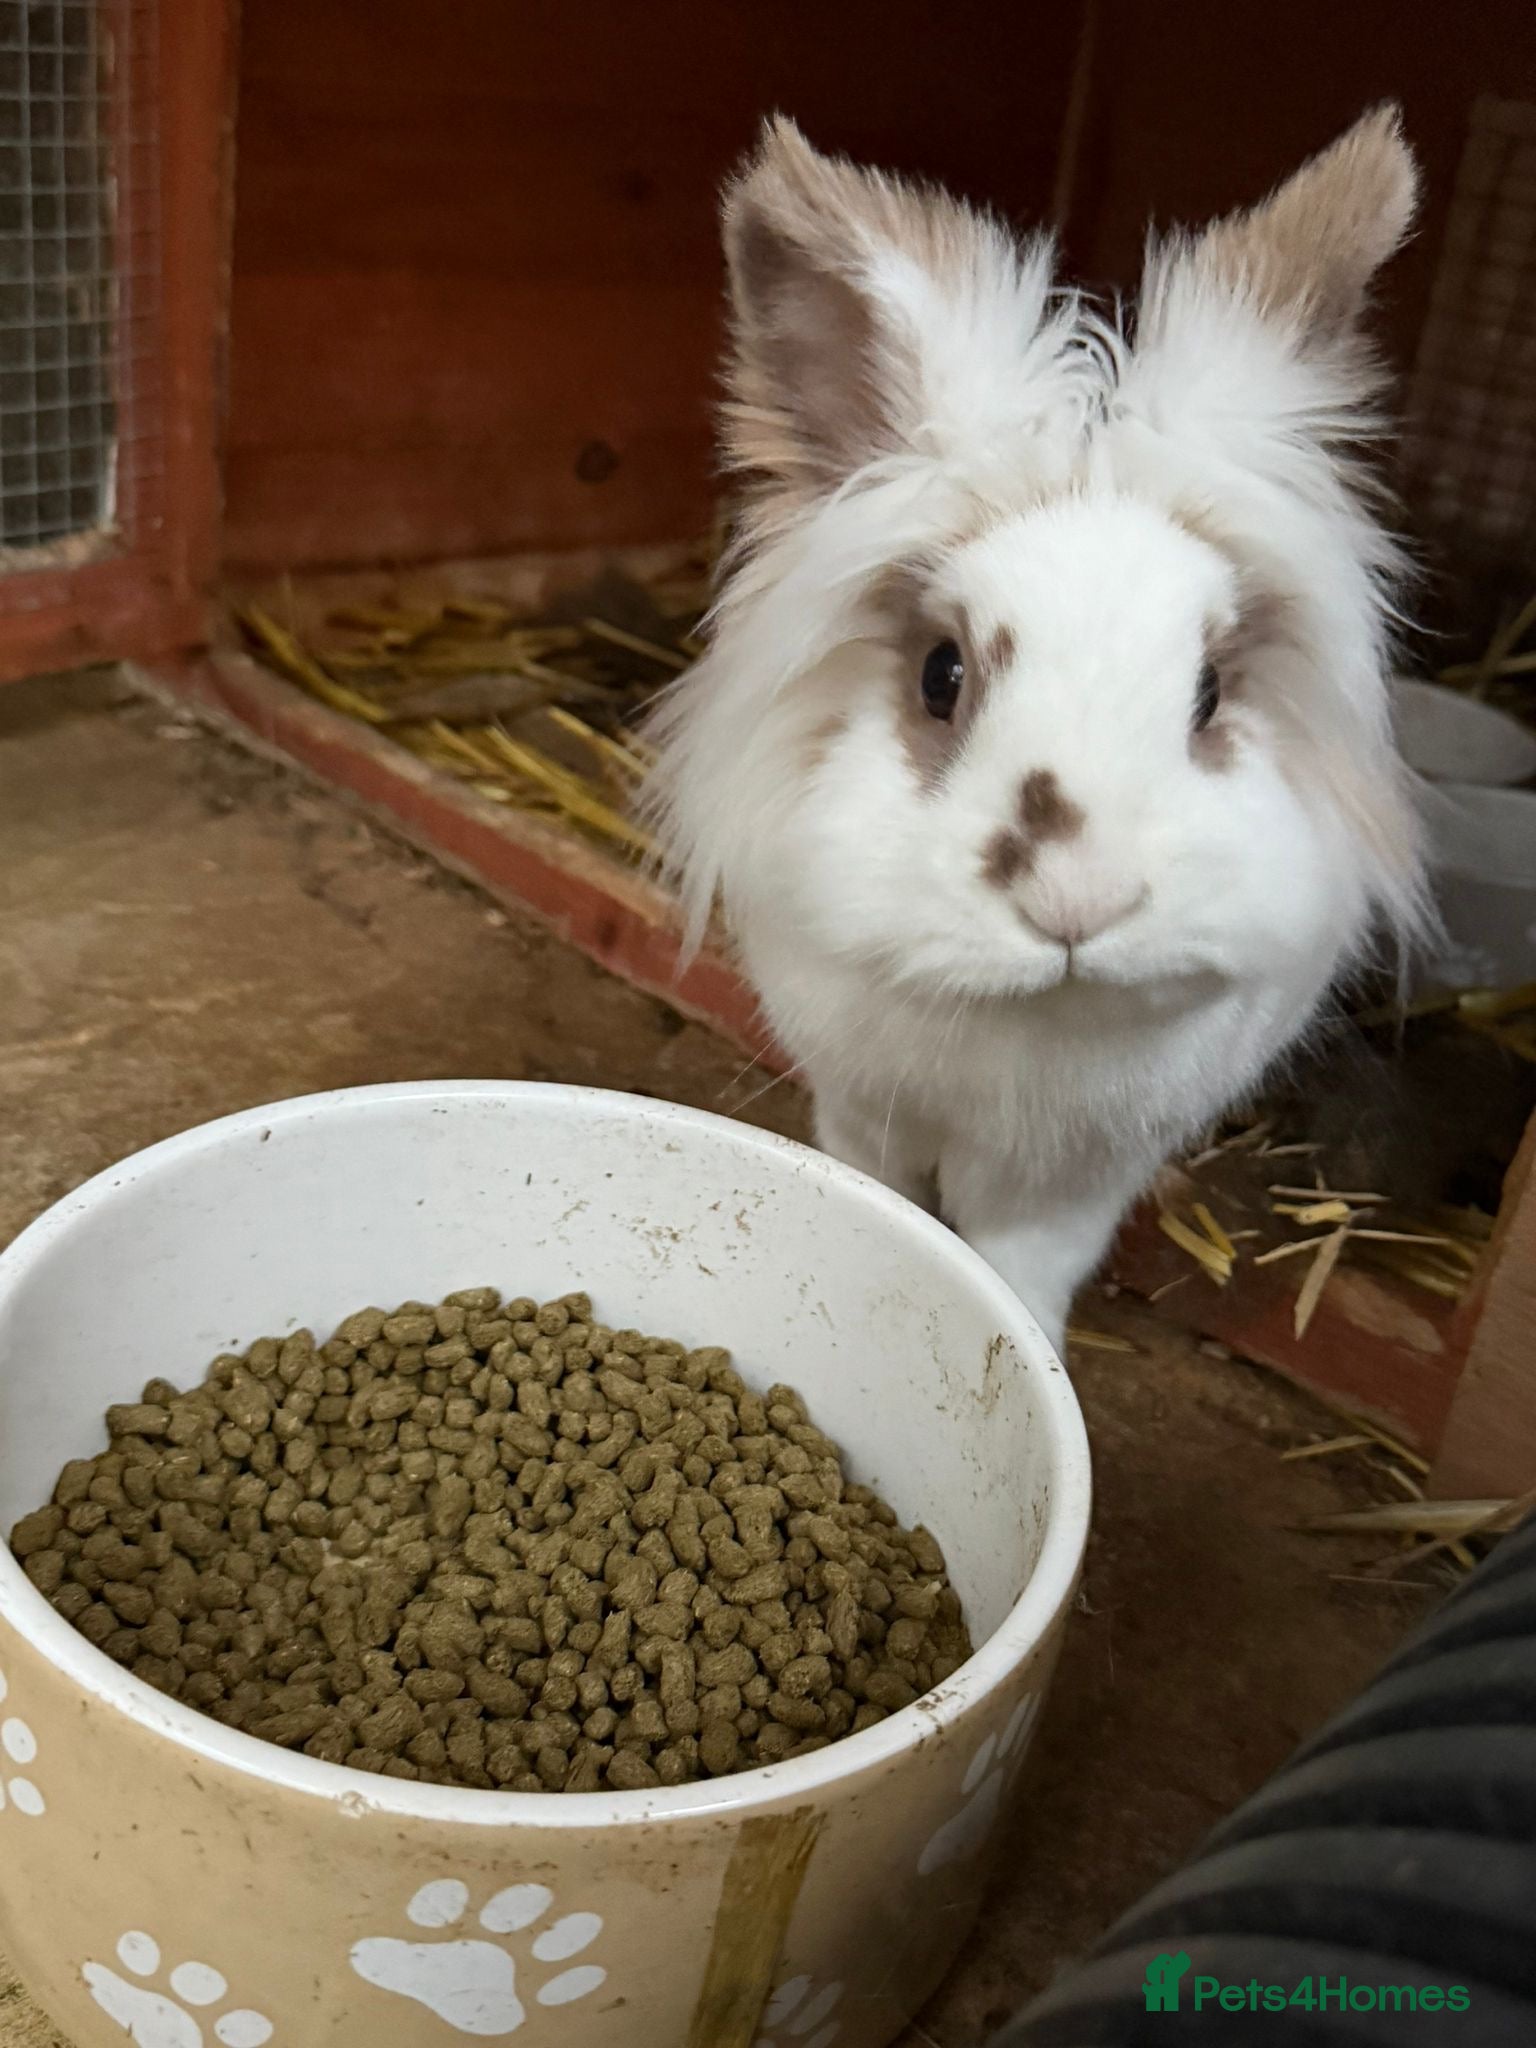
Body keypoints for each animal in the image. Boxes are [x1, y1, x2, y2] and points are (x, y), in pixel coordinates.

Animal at [645, 108, 1428, 1347]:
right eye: (941, 674)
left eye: (1210, 690)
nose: (1077, 900)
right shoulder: (863, 1104)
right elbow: (884, 1189)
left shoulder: (1077, 1175)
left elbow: (1021, 1268)